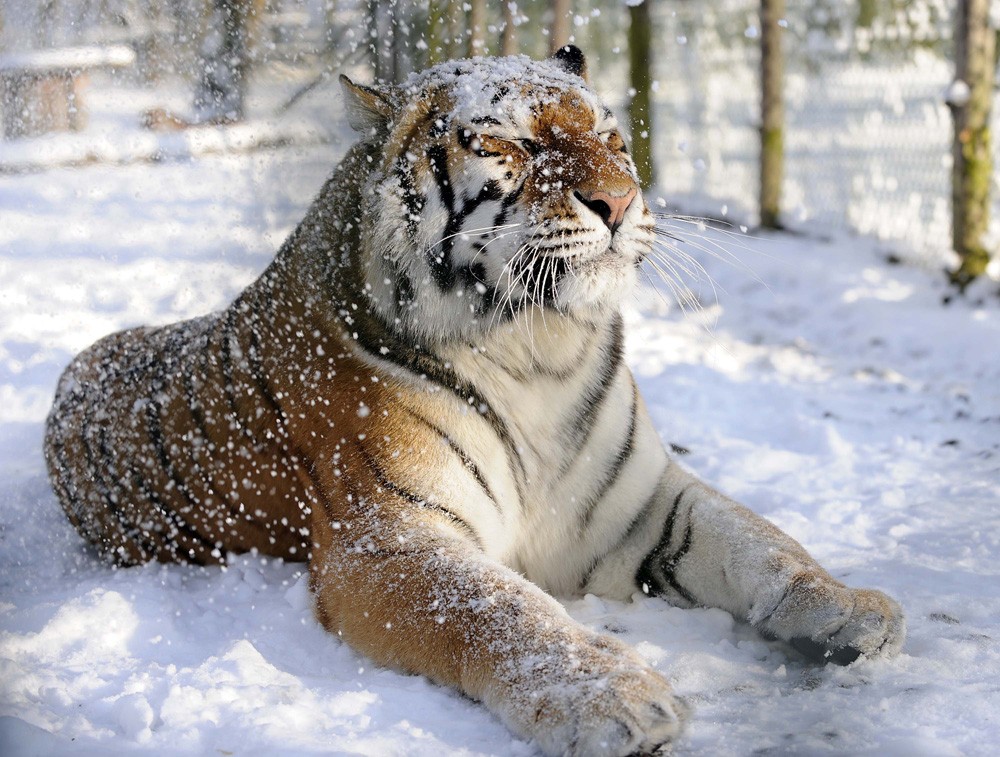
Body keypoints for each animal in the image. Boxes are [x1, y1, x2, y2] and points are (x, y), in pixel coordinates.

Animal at [45, 48, 908, 756]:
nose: (622, 201)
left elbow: (760, 540)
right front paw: (613, 697)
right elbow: (501, 610)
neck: (540, 351)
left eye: (612, 138)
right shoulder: (389, 537)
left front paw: (851, 606)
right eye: (514, 146)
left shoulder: (641, 505)